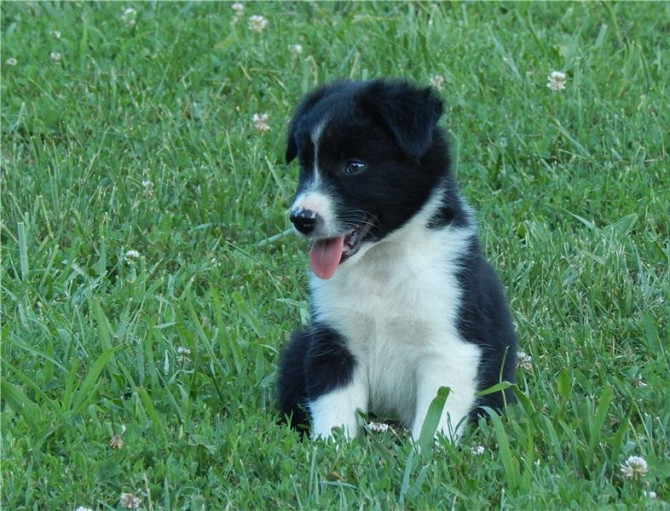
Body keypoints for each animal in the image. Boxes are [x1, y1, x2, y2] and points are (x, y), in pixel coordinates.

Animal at [278, 78, 520, 442]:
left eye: (354, 166)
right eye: (306, 165)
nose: (301, 219)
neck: (383, 262)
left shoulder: (448, 345)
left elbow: (437, 415)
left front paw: (427, 454)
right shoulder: (335, 338)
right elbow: (333, 405)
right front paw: (331, 450)